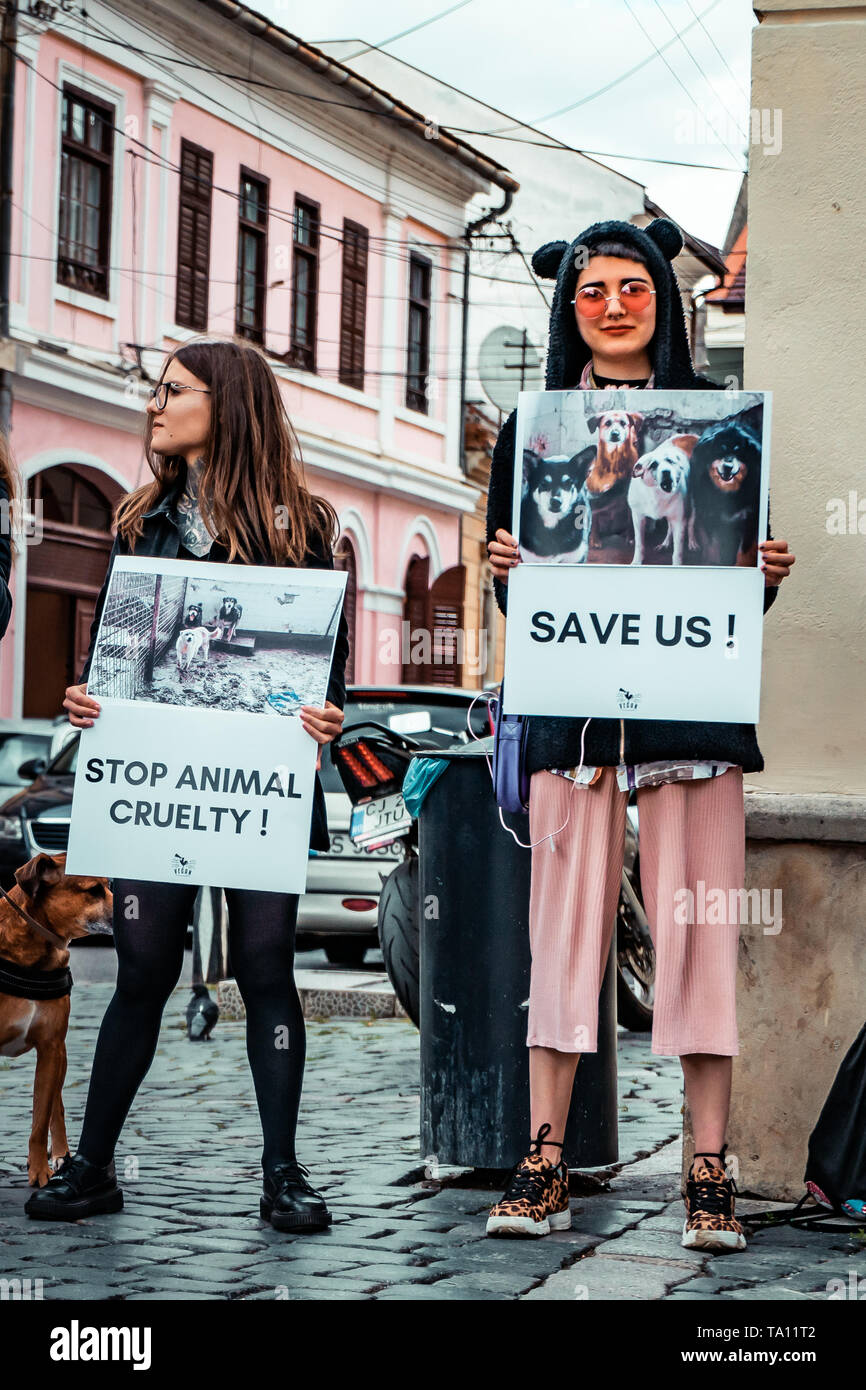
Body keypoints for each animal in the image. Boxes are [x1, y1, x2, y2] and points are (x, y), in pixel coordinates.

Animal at [0, 850, 113, 1189]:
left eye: (109, 885)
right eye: (94, 890)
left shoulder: (50, 1047)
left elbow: (41, 1120)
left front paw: (40, 1173)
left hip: (59, 1055)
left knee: (56, 1106)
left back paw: (62, 1155)